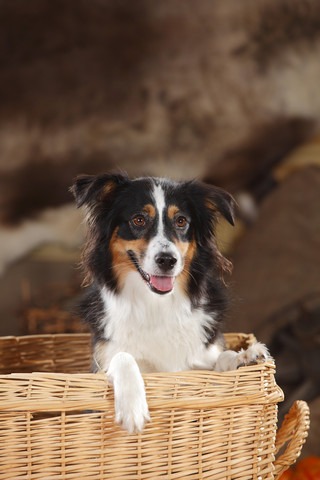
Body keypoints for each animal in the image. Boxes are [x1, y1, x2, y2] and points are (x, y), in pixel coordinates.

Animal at [70, 173, 270, 436]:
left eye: (181, 221)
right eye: (139, 219)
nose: (167, 260)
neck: (156, 303)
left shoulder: (203, 358)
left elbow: (219, 362)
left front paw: (243, 357)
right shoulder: (102, 361)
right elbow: (123, 357)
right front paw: (133, 409)